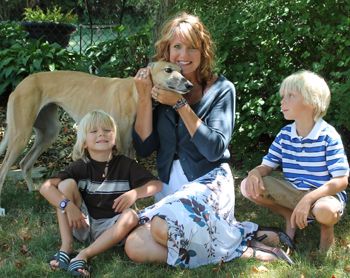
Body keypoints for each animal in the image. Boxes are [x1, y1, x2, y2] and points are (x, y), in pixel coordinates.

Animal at [0, 61, 193, 215]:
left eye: (182, 70)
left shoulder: (130, 148)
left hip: (48, 133)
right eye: (168, 69)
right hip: (21, 135)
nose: (190, 85)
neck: (135, 91)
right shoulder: (121, 146)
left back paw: (33, 193)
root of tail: (22, 84)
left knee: (25, 163)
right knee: (4, 168)